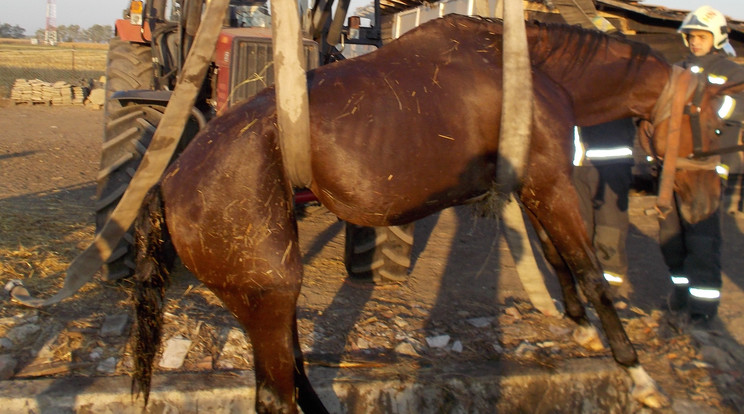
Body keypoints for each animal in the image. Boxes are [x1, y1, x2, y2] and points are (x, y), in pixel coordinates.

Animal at [129, 14, 740, 412]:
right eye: (715, 117)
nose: (706, 193)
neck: (525, 67)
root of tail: (172, 179)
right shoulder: (551, 183)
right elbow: (590, 272)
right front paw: (635, 373)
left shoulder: (534, 187)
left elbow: (555, 258)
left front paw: (581, 329)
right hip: (269, 296)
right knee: (276, 397)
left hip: (269, 301)